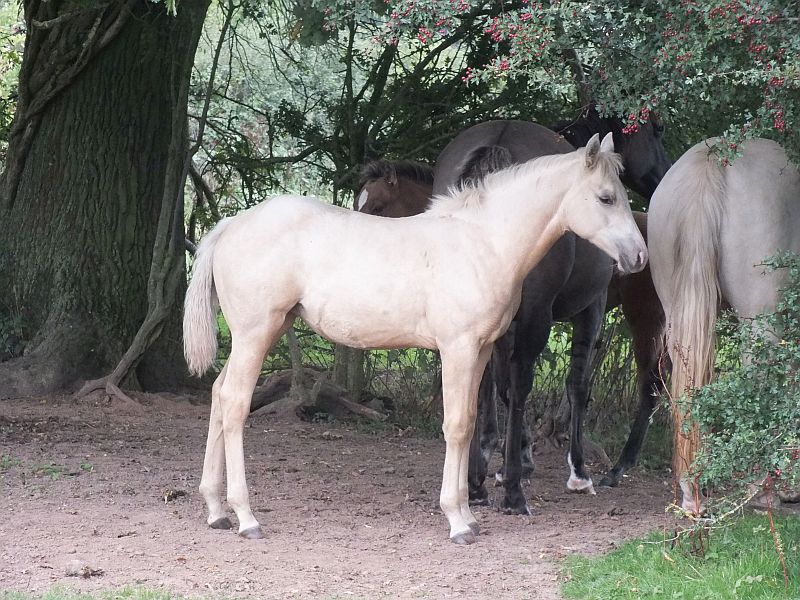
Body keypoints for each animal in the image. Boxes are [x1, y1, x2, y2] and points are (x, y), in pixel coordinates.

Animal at [184, 134, 647, 545]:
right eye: (606, 198)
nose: (638, 257)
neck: (483, 242)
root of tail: (230, 225)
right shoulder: (458, 349)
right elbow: (456, 426)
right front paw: (457, 521)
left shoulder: (480, 352)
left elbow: (471, 422)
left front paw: (469, 513)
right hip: (255, 333)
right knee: (235, 403)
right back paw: (245, 517)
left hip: (264, 332)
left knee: (219, 393)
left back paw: (215, 511)